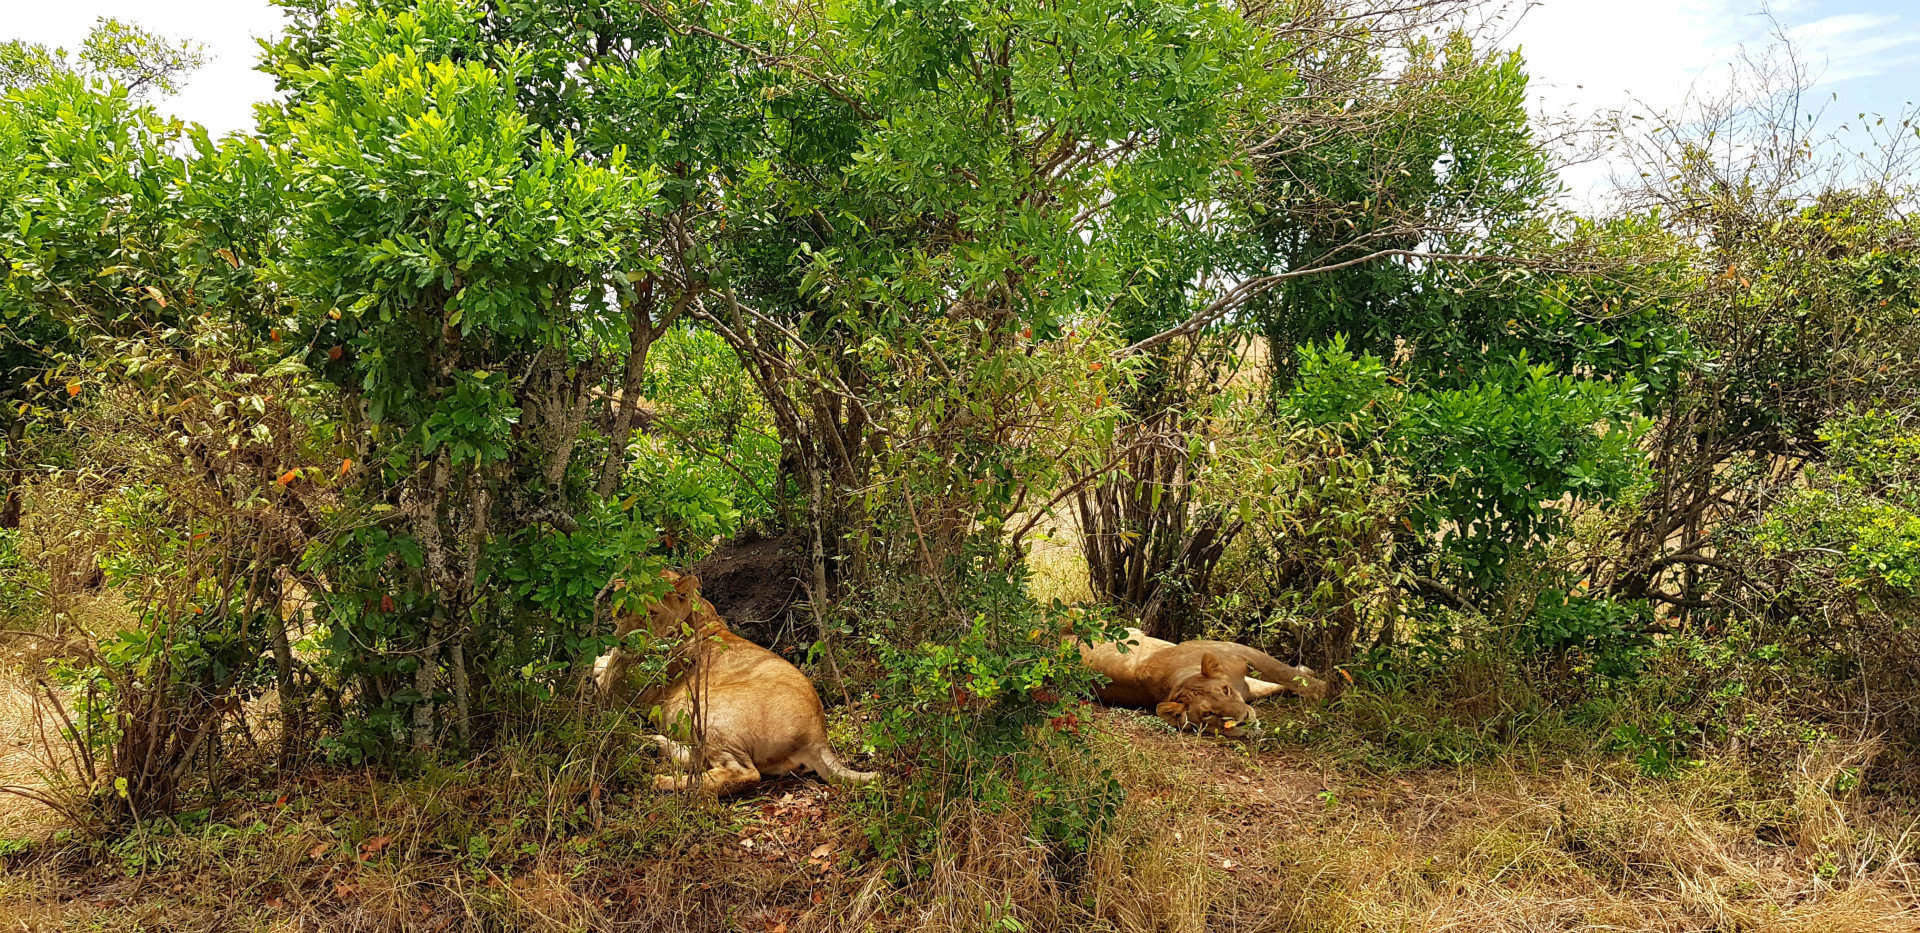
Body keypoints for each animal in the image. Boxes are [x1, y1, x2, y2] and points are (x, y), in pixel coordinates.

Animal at [591, 568, 879, 794]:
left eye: (650, 613)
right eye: (621, 610)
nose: (624, 641)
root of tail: (817, 735)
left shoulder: (615, 694)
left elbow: (599, 674)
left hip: (700, 708)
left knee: (742, 773)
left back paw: (661, 779)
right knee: (700, 757)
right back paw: (653, 745)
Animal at [1090, 625, 1328, 737]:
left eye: (1225, 690)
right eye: (1207, 714)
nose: (1244, 720)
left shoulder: (1240, 652)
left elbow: (1285, 676)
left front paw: (1327, 689)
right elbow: (1283, 682)